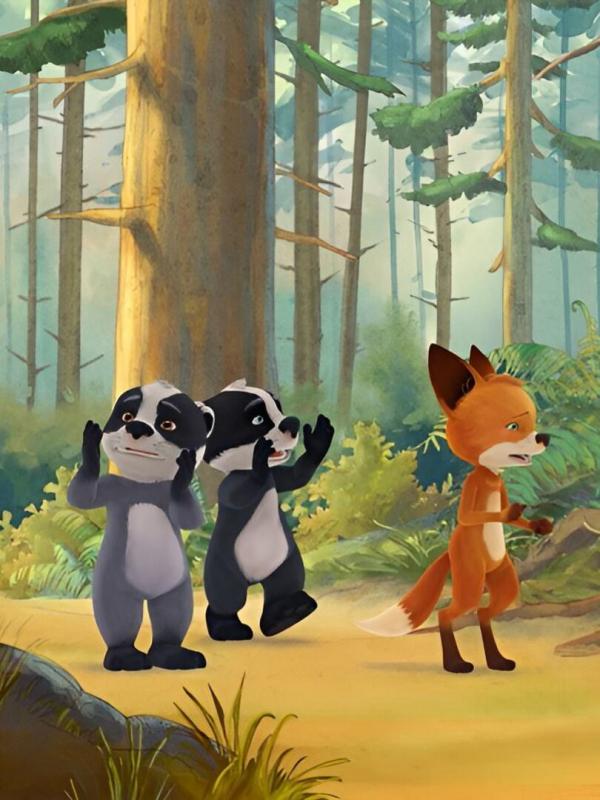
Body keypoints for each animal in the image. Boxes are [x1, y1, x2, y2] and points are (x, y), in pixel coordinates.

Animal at [357, 343, 553, 673]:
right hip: (471, 577)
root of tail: (449, 551)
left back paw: (497, 661)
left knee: (485, 612)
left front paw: (539, 525)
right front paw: (508, 514)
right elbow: (470, 515)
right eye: (513, 426)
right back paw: (456, 664)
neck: (490, 475)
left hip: (503, 579)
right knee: (448, 613)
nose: (544, 437)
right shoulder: (474, 487)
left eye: (534, 422)